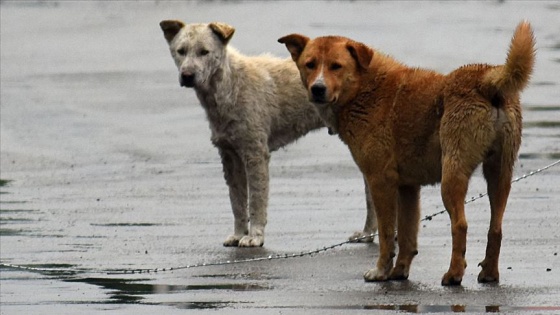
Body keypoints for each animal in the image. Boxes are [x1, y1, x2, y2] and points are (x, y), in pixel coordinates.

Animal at [159, 21, 376, 248]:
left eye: (204, 52)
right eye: (181, 51)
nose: (187, 76)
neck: (232, 84)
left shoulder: (255, 153)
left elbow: (256, 200)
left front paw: (254, 236)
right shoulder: (229, 156)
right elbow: (237, 201)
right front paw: (238, 234)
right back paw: (367, 234)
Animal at [278, 21, 532, 286]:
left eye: (336, 66)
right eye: (310, 64)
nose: (318, 89)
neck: (364, 88)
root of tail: (485, 80)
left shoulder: (380, 182)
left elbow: (388, 233)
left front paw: (381, 271)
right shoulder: (407, 187)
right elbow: (408, 234)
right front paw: (399, 271)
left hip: (452, 176)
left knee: (460, 225)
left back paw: (454, 274)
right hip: (500, 174)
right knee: (496, 228)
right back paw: (489, 273)